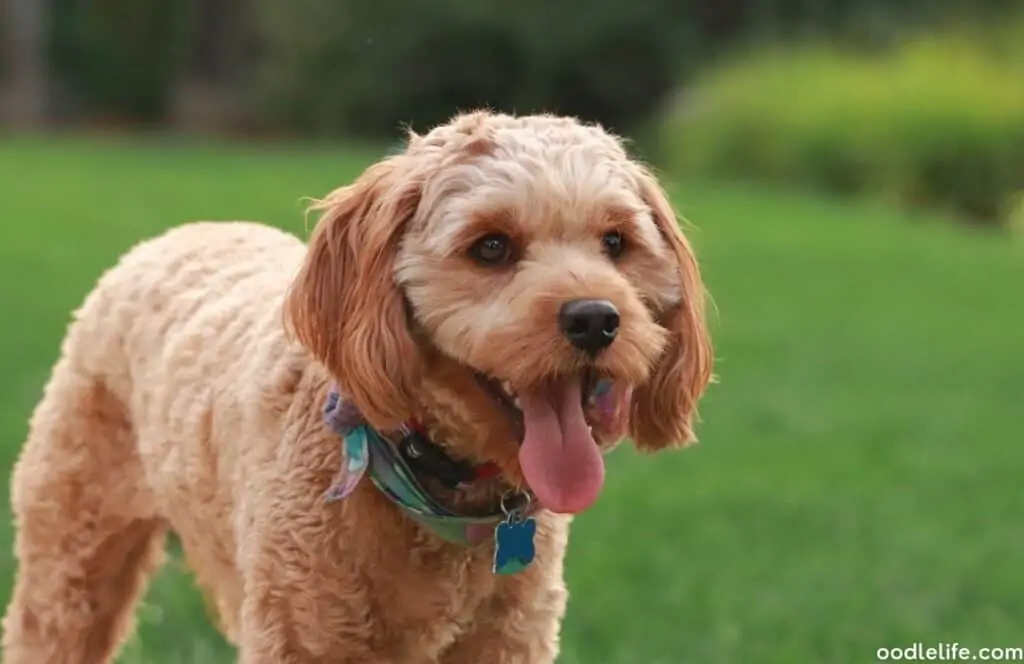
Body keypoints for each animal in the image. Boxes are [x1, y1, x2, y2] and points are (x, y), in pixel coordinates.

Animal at [2, 111, 712, 659]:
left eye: (615, 241)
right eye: (490, 247)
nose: (596, 319)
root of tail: (178, 233)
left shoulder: (509, 639)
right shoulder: (304, 634)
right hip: (70, 558)